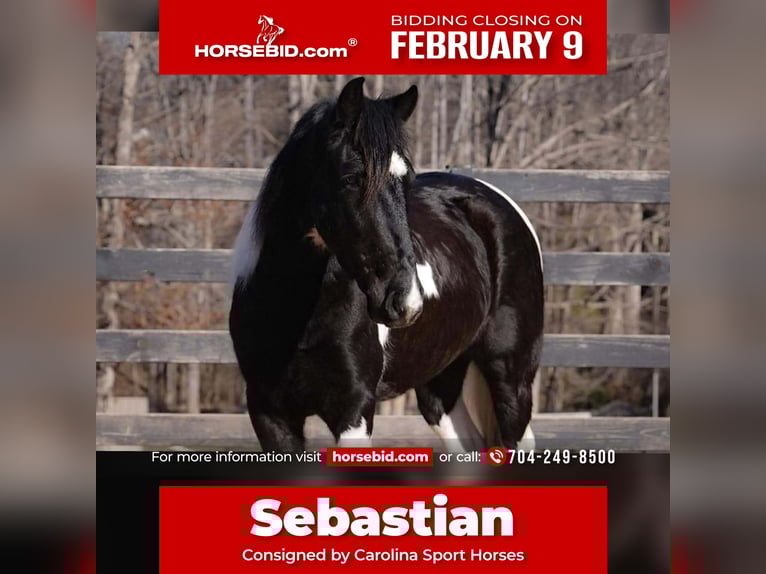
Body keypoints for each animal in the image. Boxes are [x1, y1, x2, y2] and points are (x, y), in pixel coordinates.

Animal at [229, 77, 543, 453]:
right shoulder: (270, 415)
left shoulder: (353, 409)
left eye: (405, 180)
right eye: (351, 178)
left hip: (511, 377)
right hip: (440, 382)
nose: (405, 302)